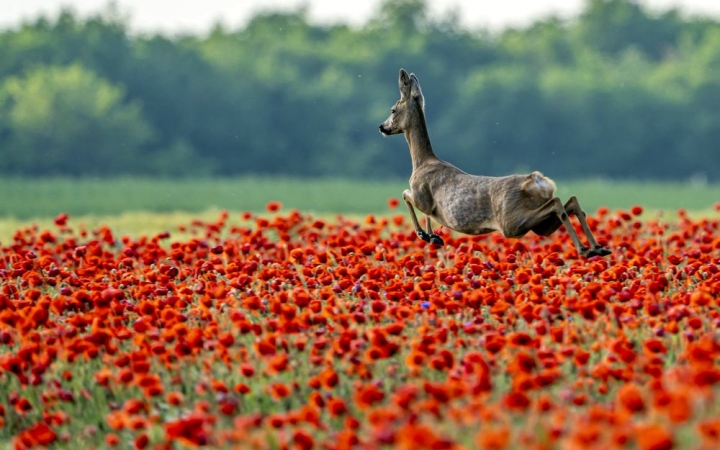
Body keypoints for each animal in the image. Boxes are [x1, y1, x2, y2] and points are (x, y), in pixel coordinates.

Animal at [380, 68, 612, 258]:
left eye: (392, 110)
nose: (382, 127)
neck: (421, 161)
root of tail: (536, 181)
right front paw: (434, 237)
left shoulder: (422, 195)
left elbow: (406, 194)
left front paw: (424, 234)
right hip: (539, 226)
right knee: (570, 202)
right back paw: (598, 248)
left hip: (511, 221)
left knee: (557, 203)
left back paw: (586, 249)